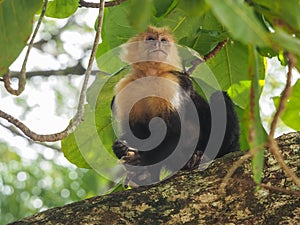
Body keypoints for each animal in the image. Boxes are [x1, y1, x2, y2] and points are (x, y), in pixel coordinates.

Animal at [110, 25, 239, 186]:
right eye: (150, 39)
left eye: (163, 40)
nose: (158, 43)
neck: (150, 75)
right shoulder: (125, 88)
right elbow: (134, 130)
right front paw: (121, 149)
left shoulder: (170, 82)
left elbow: (175, 130)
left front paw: (142, 160)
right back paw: (146, 175)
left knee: (218, 98)